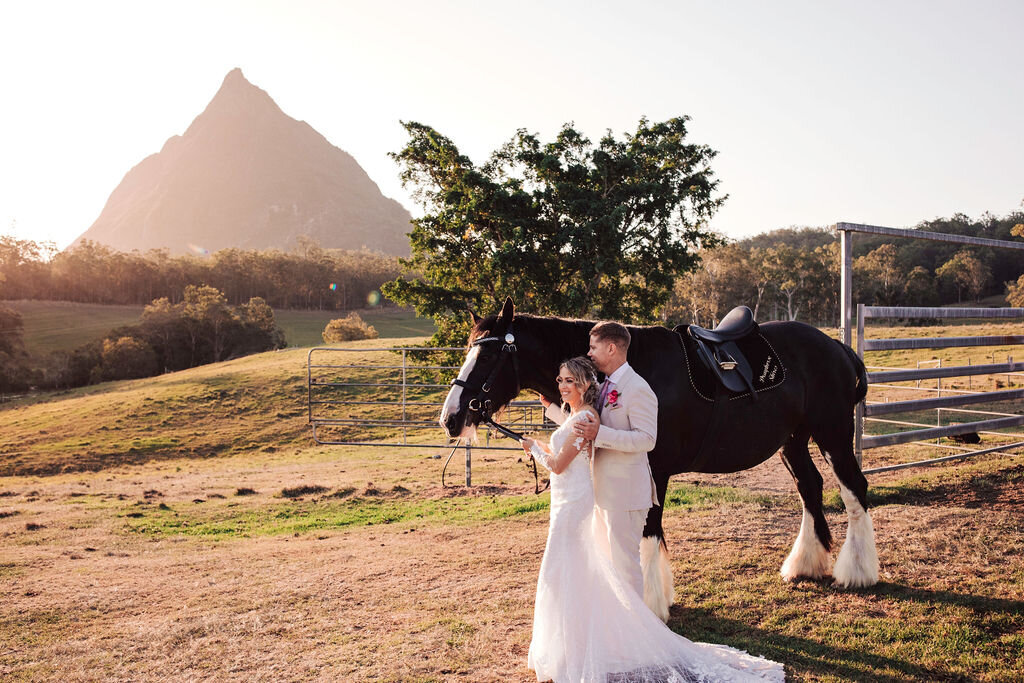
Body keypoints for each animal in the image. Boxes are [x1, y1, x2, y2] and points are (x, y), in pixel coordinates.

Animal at [440, 296, 880, 622]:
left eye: (487, 357)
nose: (451, 418)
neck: (640, 368)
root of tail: (837, 347)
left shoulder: (653, 468)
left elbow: (648, 533)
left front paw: (648, 603)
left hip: (833, 434)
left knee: (854, 489)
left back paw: (858, 571)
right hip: (793, 441)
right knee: (811, 487)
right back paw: (805, 564)